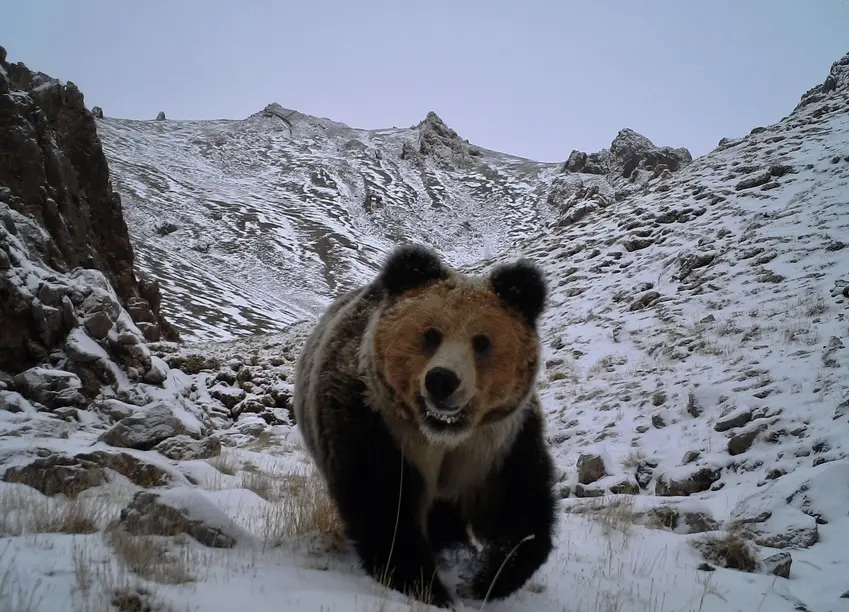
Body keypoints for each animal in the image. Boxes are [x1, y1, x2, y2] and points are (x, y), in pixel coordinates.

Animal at [292, 243, 556, 608]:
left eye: (482, 341)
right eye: (431, 334)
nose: (442, 380)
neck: (443, 432)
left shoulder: (496, 441)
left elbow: (517, 504)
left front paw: (489, 577)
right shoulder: (379, 424)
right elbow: (383, 503)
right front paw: (426, 586)